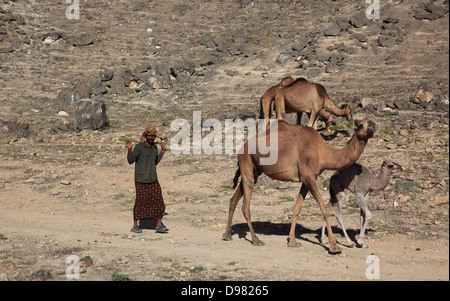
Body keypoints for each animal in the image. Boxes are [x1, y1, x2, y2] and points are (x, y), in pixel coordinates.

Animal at [222, 115, 376, 253]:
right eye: (361, 125)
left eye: (371, 121)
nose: (373, 125)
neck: (323, 151)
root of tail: (241, 148)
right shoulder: (308, 176)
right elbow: (324, 208)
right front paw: (334, 246)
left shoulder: (307, 179)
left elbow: (297, 208)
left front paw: (293, 241)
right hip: (246, 160)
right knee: (246, 203)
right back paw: (256, 240)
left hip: (255, 170)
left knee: (234, 198)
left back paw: (227, 234)